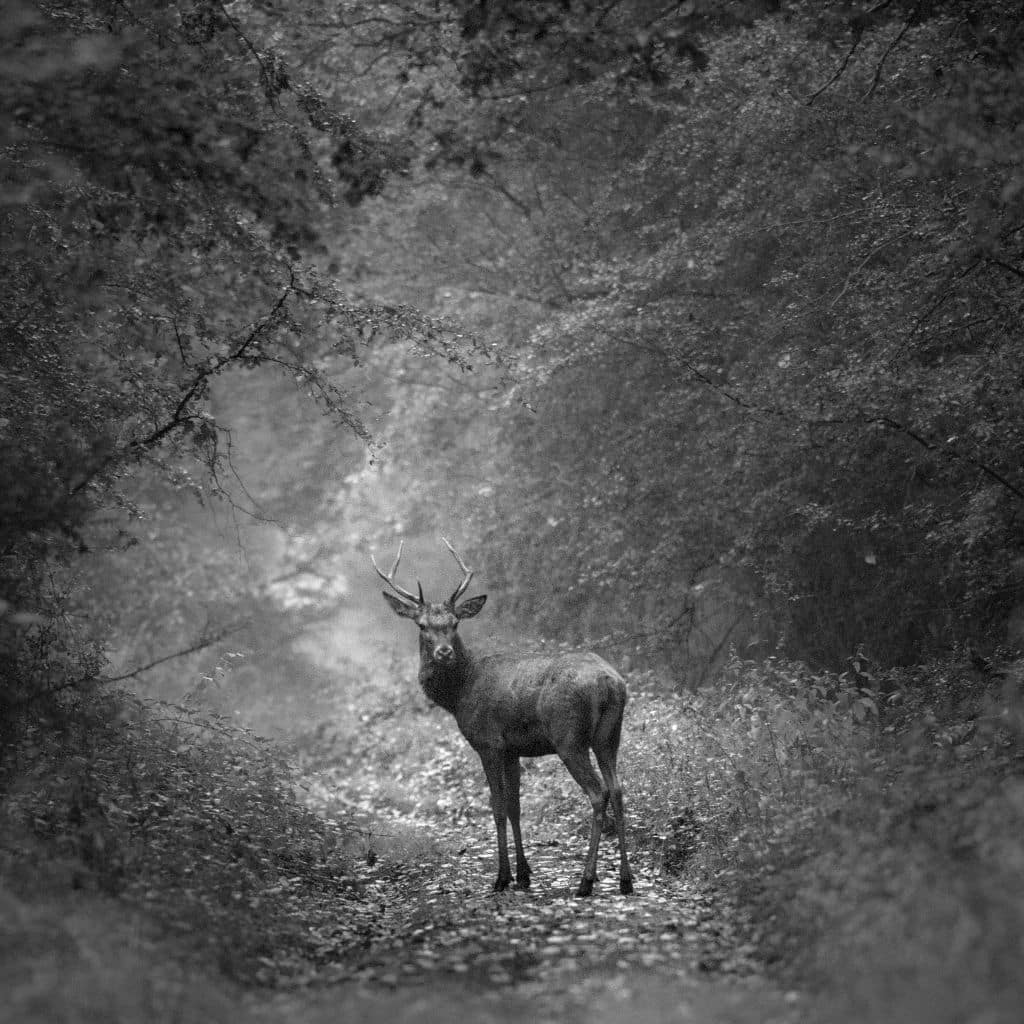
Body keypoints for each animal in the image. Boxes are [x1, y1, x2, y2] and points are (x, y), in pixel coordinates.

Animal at [374, 536, 630, 897]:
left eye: (455, 624)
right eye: (422, 626)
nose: (444, 652)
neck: (459, 695)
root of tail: (609, 682)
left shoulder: (489, 742)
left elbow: (496, 807)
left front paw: (502, 877)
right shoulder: (513, 749)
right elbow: (514, 807)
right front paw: (524, 874)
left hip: (570, 738)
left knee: (599, 793)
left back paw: (586, 881)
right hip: (610, 735)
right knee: (618, 789)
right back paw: (625, 880)